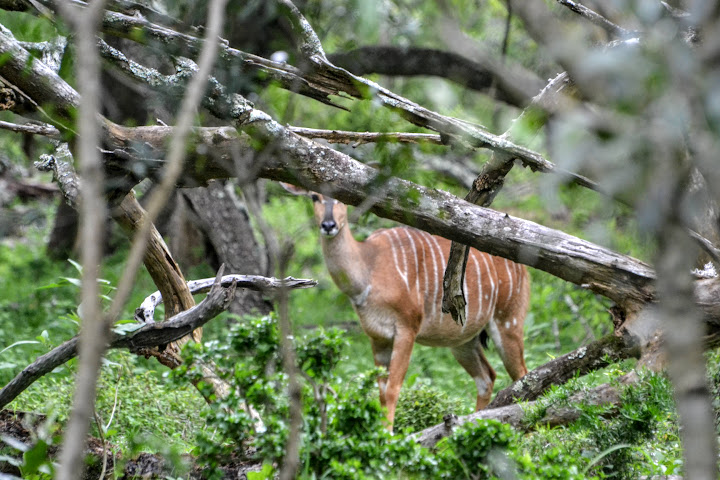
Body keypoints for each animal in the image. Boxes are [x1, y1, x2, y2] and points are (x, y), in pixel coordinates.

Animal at [282, 184, 528, 428]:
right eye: (314, 197)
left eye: (342, 199)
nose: (328, 225)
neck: (369, 269)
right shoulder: (377, 337)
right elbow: (381, 391)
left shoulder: (407, 327)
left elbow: (393, 389)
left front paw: (389, 435)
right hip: (463, 340)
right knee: (486, 377)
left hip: (508, 320)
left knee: (521, 375)